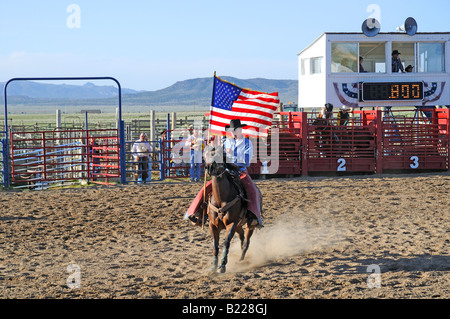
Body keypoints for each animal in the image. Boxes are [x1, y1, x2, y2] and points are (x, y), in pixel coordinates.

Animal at [204, 146, 256, 274]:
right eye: (207, 154)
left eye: (219, 154)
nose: (209, 167)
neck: (221, 199)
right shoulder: (212, 225)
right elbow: (215, 245)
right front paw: (213, 265)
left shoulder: (231, 223)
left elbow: (226, 242)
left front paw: (222, 266)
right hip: (239, 225)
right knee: (242, 237)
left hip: (249, 225)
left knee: (246, 242)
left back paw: (241, 259)